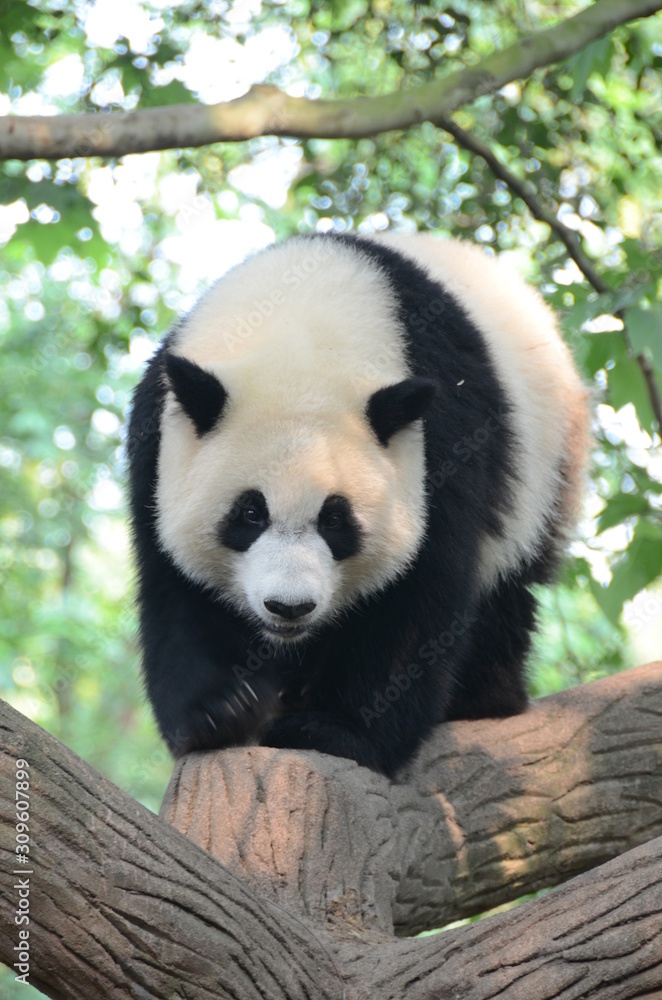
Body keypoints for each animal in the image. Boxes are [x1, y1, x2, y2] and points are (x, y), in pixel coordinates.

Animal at [127, 232, 588, 778]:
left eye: (335, 520)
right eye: (249, 513)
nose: (289, 607)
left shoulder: (442, 442)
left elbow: (418, 591)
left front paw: (337, 731)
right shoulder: (157, 442)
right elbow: (175, 588)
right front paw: (219, 711)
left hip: (547, 471)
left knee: (508, 587)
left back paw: (484, 699)